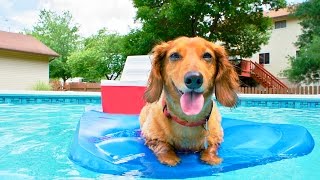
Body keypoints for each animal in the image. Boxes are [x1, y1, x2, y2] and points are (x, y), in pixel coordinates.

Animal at [139, 36, 239, 166]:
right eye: (174, 55)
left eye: (207, 55)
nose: (194, 78)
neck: (188, 120)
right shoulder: (150, 137)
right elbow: (163, 146)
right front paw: (170, 158)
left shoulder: (216, 139)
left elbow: (211, 147)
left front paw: (211, 158)